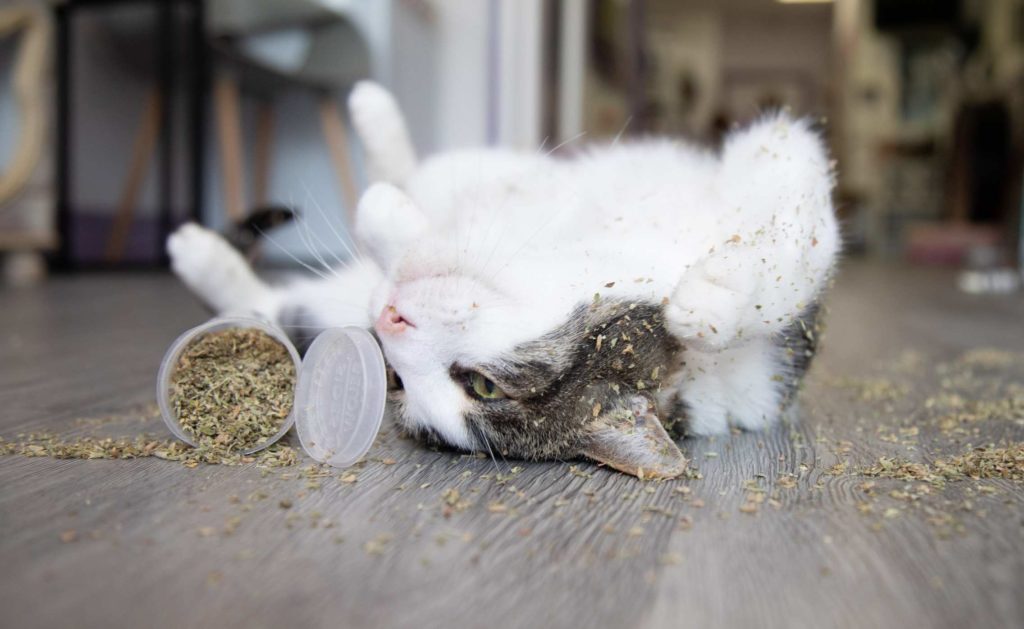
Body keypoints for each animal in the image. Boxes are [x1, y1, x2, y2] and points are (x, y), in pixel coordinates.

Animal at [167, 81, 839, 481]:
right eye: (394, 377)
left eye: (482, 386)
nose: (386, 321)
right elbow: (403, 212)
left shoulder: (779, 159)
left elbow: (800, 236)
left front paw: (712, 302)